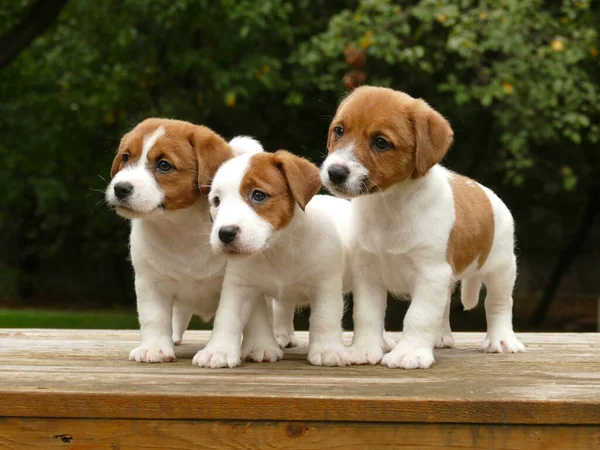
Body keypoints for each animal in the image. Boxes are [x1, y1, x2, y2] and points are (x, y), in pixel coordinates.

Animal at [192, 149, 352, 368]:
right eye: (216, 201)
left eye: (258, 195)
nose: (225, 233)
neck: (277, 249)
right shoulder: (240, 287)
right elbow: (227, 317)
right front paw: (219, 350)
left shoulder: (325, 285)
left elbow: (324, 318)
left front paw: (328, 350)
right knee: (283, 309)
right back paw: (281, 336)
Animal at [322, 87, 524, 370]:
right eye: (339, 131)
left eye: (381, 142)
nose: (335, 172)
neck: (389, 206)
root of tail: (486, 192)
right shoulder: (368, 273)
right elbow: (367, 315)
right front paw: (364, 350)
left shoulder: (430, 273)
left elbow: (418, 315)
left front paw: (410, 353)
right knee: (444, 306)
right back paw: (440, 338)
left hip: (501, 269)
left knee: (499, 304)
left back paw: (502, 340)